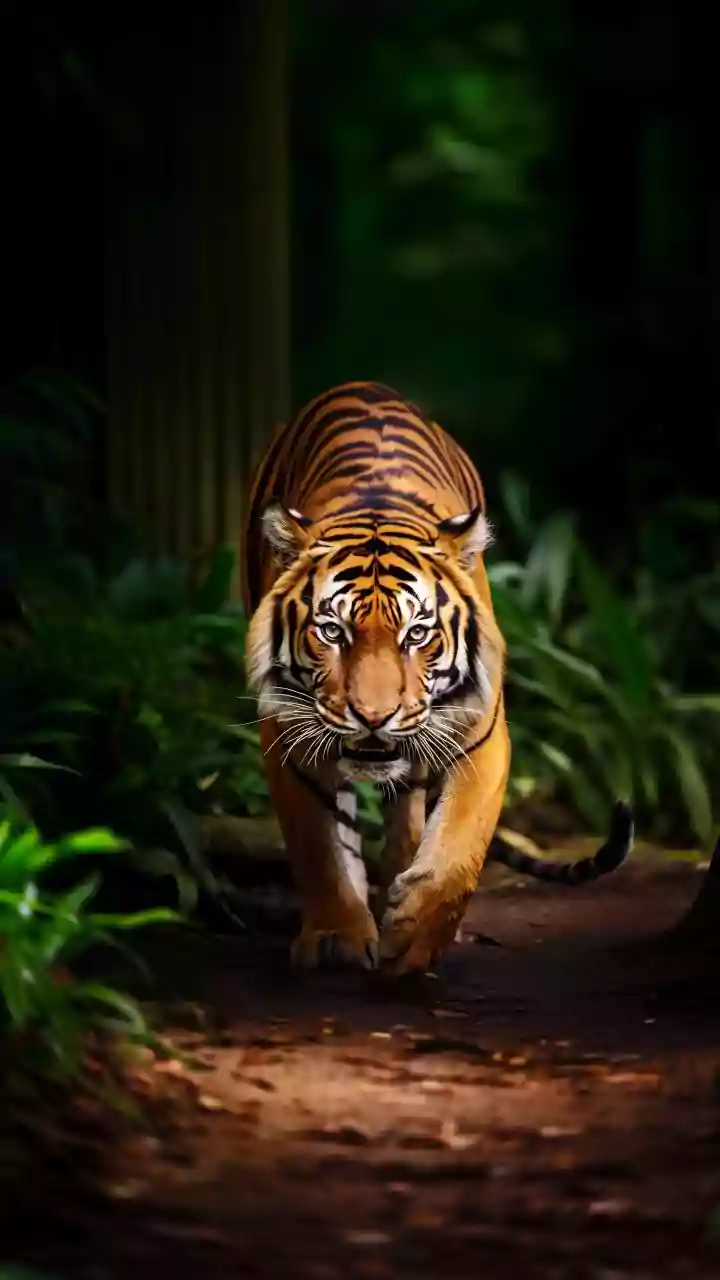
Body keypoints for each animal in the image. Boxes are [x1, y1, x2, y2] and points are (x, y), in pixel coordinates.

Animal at [243, 381, 633, 976]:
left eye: (417, 633)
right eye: (332, 631)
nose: (373, 717)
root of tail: (362, 386)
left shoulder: (483, 735)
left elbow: (459, 847)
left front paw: (416, 935)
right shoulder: (287, 733)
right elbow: (319, 846)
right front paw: (337, 936)